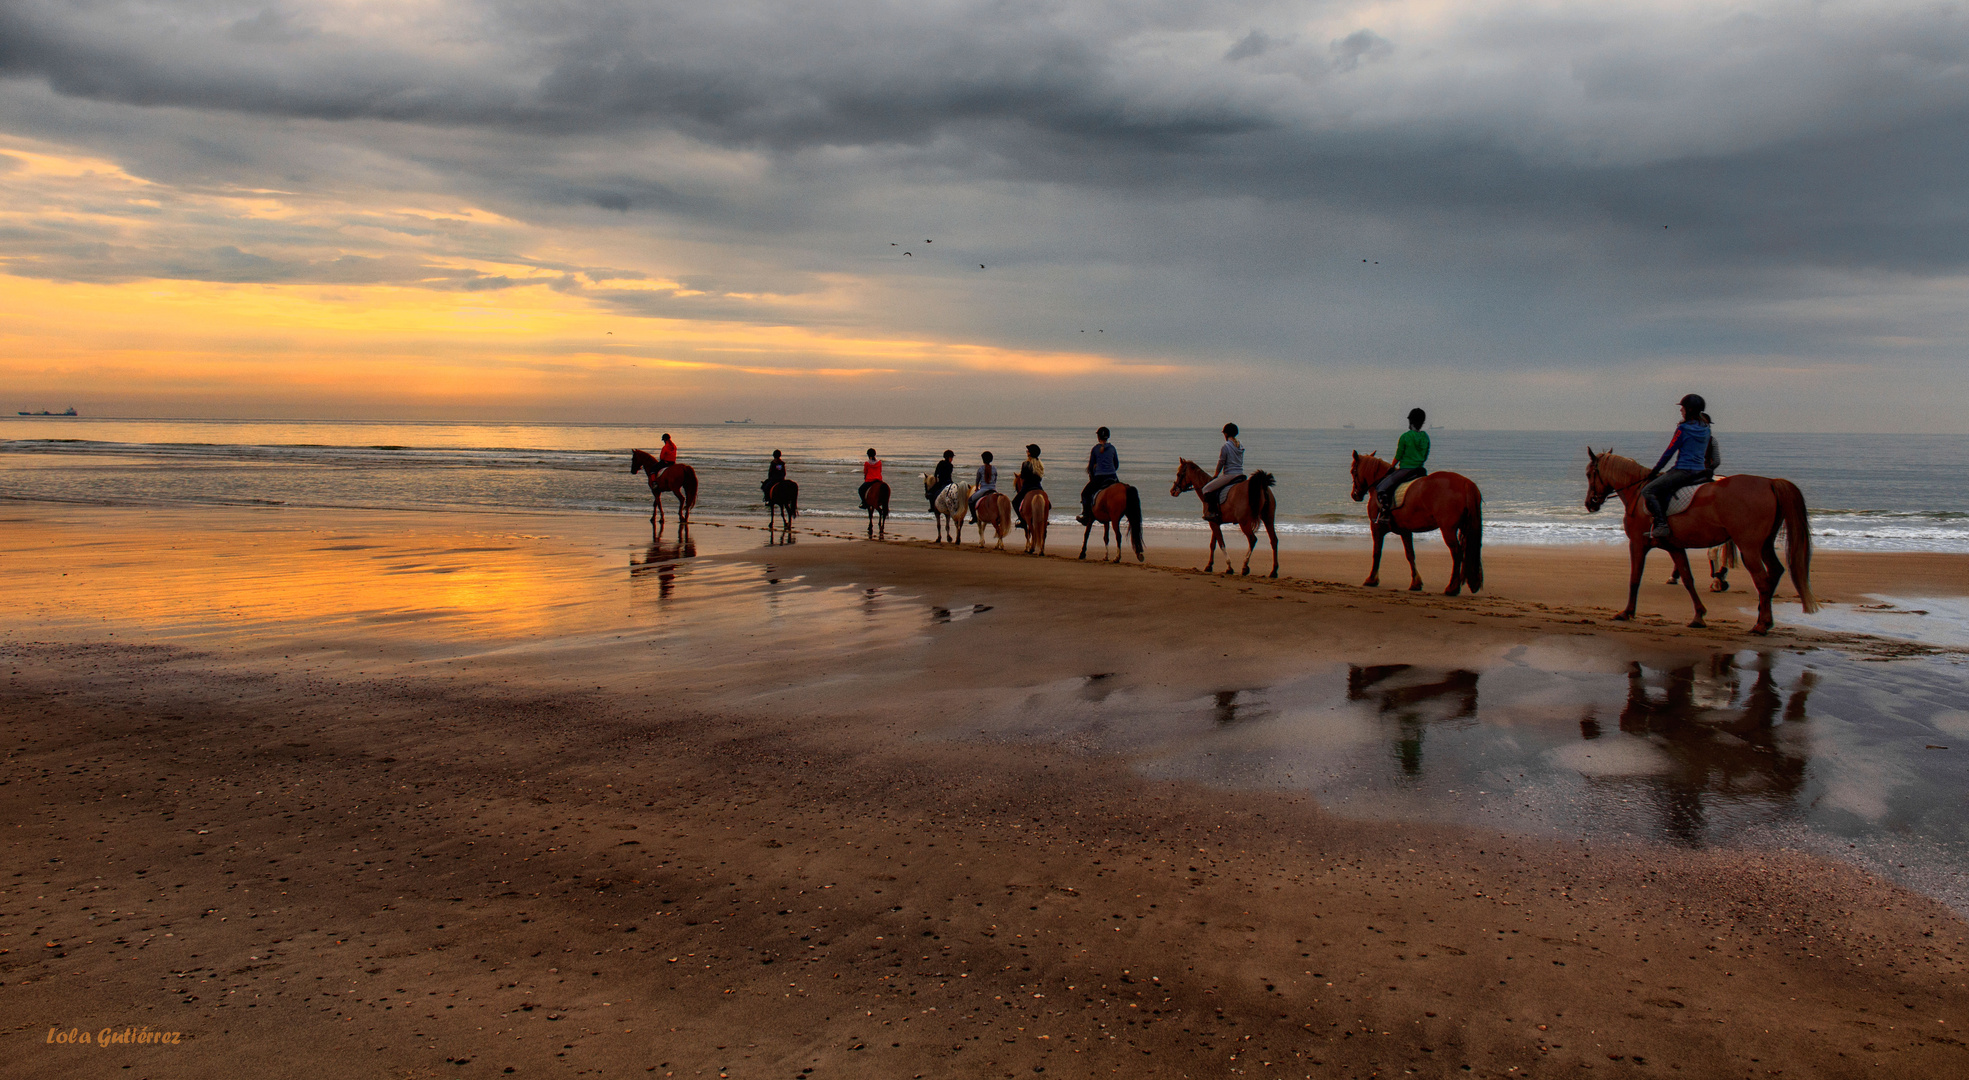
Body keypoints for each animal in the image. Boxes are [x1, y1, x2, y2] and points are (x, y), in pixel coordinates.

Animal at [1346, 450, 1480, 594]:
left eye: (1353, 471)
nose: (1355, 495)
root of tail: (1465, 482)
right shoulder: (1405, 530)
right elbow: (1410, 554)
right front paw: (1416, 583)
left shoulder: (1376, 527)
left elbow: (1377, 553)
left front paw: (1371, 580)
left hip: (1448, 529)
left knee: (1456, 552)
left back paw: (1452, 588)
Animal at [1575, 446, 1819, 633]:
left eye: (1588, 474)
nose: (1590, 503)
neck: (1638, 492)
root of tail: (1769, 482)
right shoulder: (1675, 547)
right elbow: (1687, 578)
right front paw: (1699, 616)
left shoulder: (1637, 544)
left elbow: (1635, 578)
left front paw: (1626, 612)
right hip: (1765, 544)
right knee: (1775, 571)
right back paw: (1761, 614)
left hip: (1749, 547)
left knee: (1761, 580)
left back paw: (1761, 624)